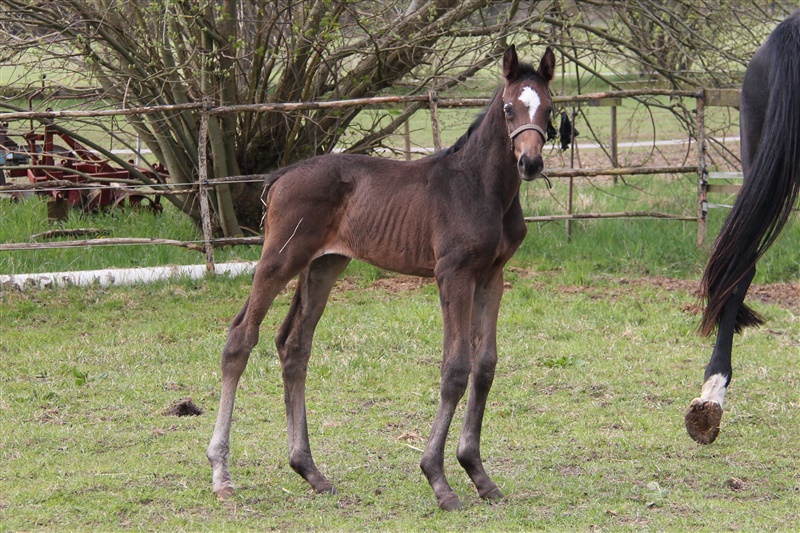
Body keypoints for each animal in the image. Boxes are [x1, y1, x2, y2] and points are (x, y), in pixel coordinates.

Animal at [206, 45, 556, 511]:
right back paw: (222, 474)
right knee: (240, 338)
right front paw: (439, 481)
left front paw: (479, 475)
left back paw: (310, 470)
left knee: (294, 345)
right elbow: (455, 368)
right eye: (508, 108)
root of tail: (280, 176)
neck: (480, 187)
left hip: (324, 265)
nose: (530, 162)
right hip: (280, 258)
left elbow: (484, 366)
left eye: (549, 108)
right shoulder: (453, 275)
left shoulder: (491, 276)